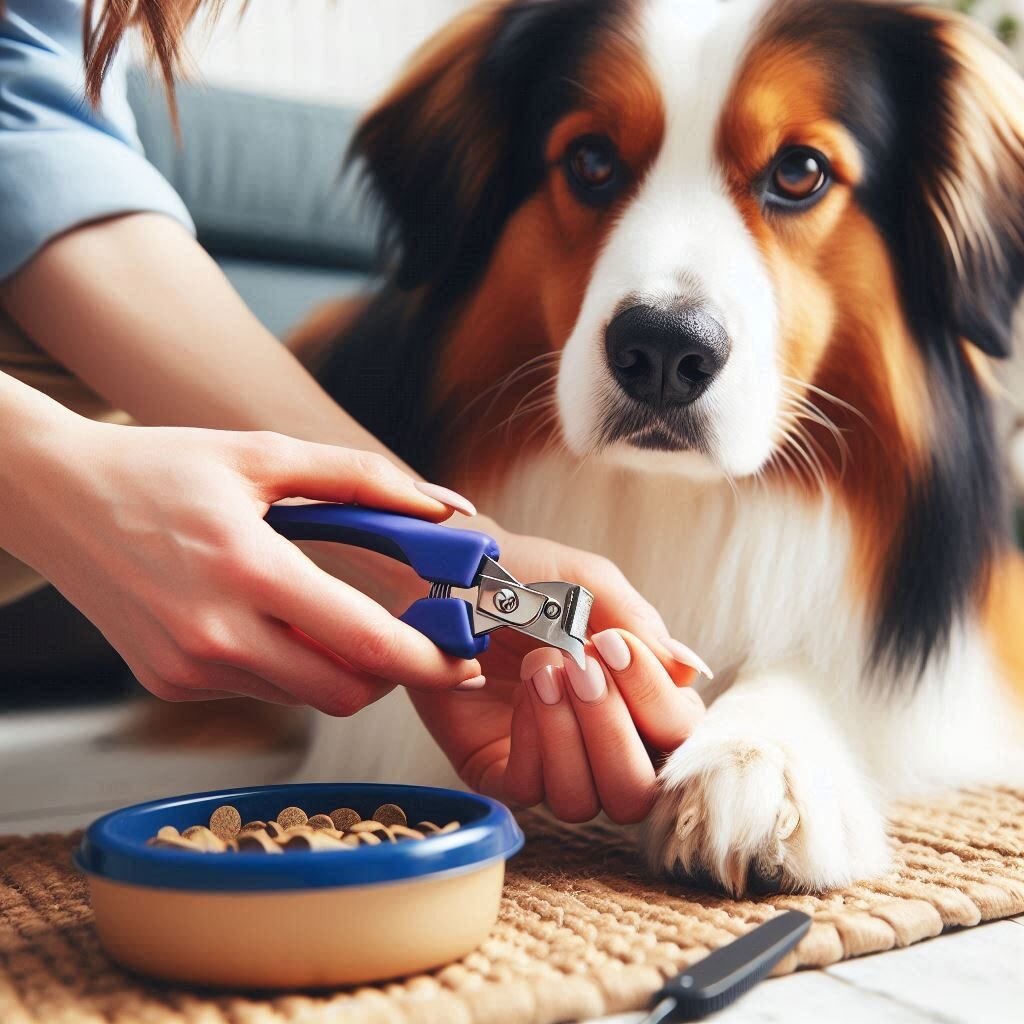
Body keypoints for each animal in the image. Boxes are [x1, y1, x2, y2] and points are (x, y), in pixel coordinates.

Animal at [292, 0, 1024, 897]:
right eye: (591, 160)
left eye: (800, 172)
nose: (665, 350)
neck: (669, 497)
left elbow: (822, 666)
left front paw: (758, 755)